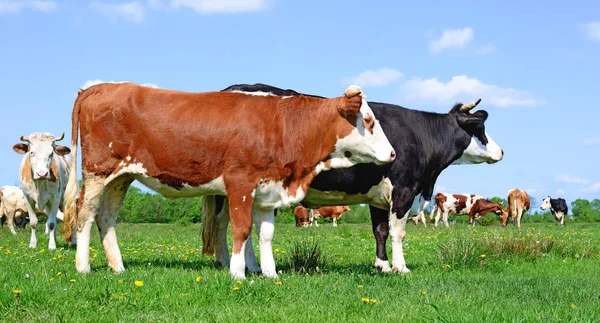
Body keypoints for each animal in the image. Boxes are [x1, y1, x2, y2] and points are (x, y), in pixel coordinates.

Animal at [63, 82, 396, 280]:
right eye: (368, 121)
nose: (393, 153)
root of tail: (100, 86)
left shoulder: (268, 190)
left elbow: (266, 235)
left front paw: (270, 274)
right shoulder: (240, 182)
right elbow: (242, 229)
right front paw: (238, 273)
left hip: (121, 177)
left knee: (107, 217)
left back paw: (118, 267)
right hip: (97, 172)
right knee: (85, 214)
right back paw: (83, 266)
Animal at [200, 83, 502, 274]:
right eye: (481, 128)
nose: (501, 151)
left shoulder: (379, 195)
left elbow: (380, 230)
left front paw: (382, 266)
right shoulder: (404, 190)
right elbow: (398, 232)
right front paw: (401, 267)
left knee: (224, 222)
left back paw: (235, 264)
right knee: (231, 223)